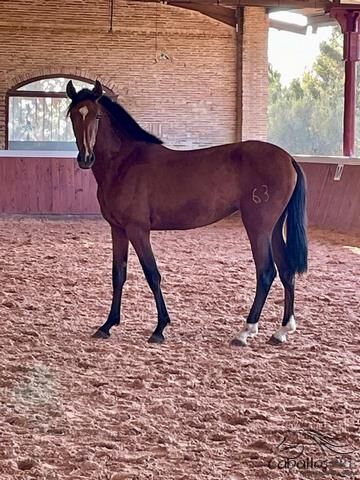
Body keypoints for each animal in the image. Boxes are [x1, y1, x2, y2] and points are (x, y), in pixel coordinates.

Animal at [67, 80, 306, 346]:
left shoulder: (138, 230)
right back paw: (282, 330)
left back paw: (246, 331)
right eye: (73, 115)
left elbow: (152, 274)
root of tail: (288, 158)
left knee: (266, 272)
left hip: (258, 227)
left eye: (97, 115)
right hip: (273, 228)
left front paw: (160, 328)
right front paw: (108, 325)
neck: (124, 162)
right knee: (286, 270)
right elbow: (118, 274)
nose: (85, 158)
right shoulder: (118, 229)